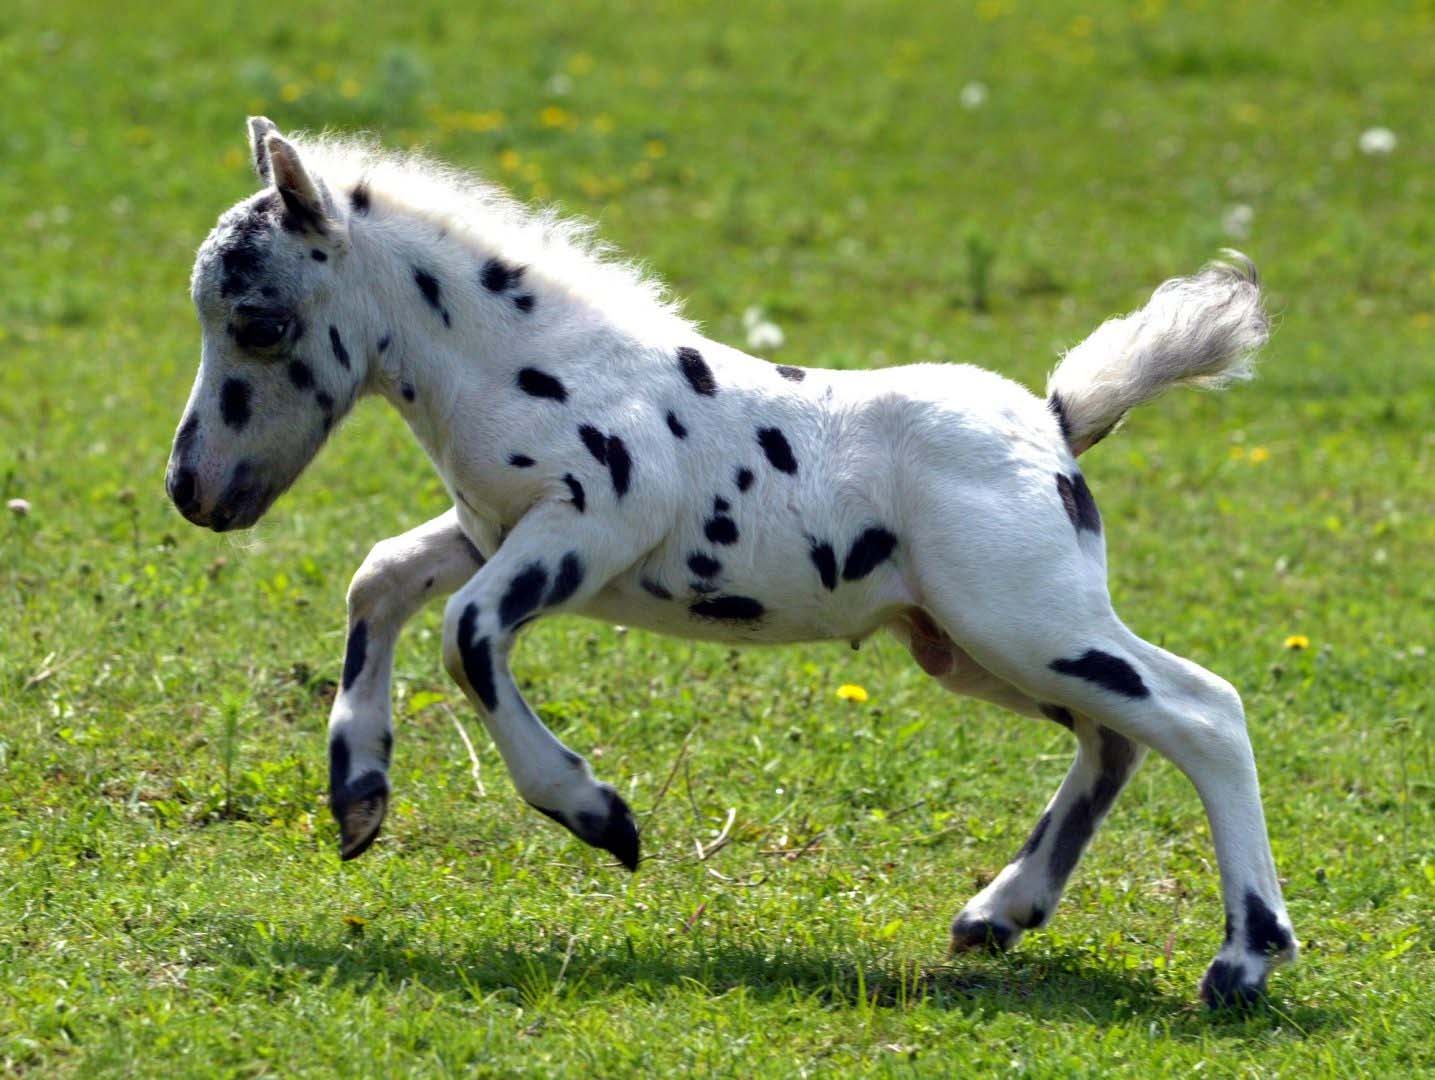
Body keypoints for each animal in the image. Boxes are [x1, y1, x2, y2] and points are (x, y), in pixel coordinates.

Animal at [165, 121, 1302, 1009]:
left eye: (259, 321)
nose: (193, 489)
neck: (535, 366)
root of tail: (1056, 426)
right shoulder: (485, 530)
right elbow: (381, 577)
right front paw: (357, 793)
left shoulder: (584, 528)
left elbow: (467, 633)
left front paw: (599, 816)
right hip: (968, 646)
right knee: (1115, 741)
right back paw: (998, 912)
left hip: (1026, 622)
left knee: (1201, 712)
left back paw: (1243, 962)